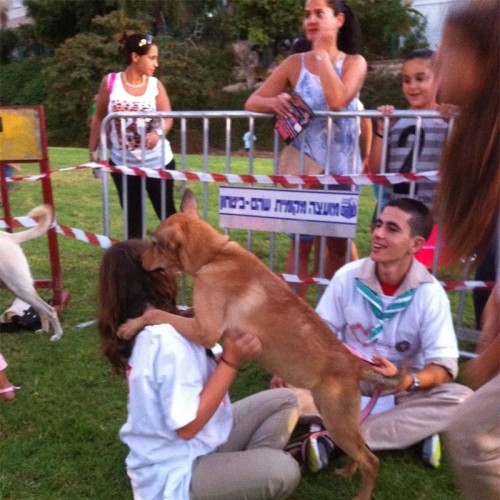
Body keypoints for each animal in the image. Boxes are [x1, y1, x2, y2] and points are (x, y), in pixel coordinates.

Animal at [0, 205, 63, 341]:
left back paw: (58, 335)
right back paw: (44, 330)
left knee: (50, 310)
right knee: (41, 310)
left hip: (19, 288)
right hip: (16, 288)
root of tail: (9, 236)